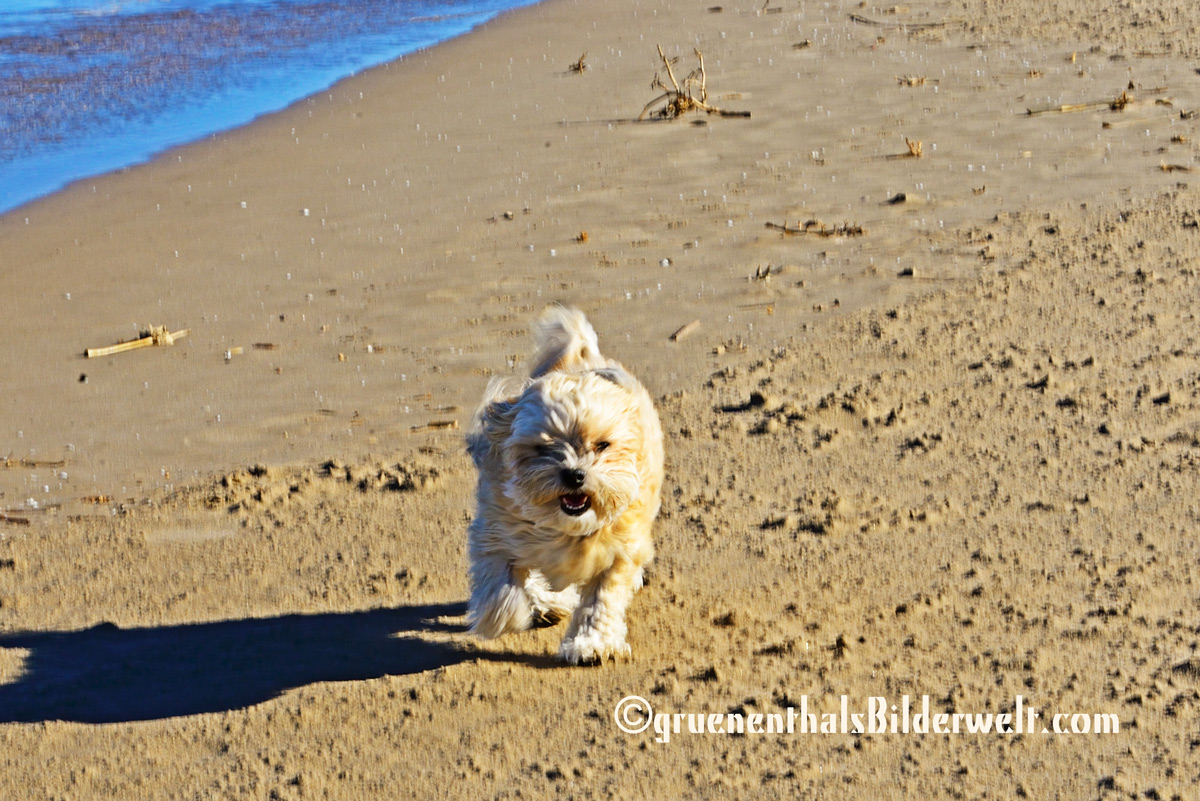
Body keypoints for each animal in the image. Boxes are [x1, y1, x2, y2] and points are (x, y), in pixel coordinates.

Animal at [463, 306, 667, 661]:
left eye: (602, 445)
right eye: (543, 447)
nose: (575, 474)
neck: (565, 531)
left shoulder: (619, 551)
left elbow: (602, 598)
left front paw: (592, 642)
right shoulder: (495, 533)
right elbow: (502, 586)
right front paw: (506, 616)